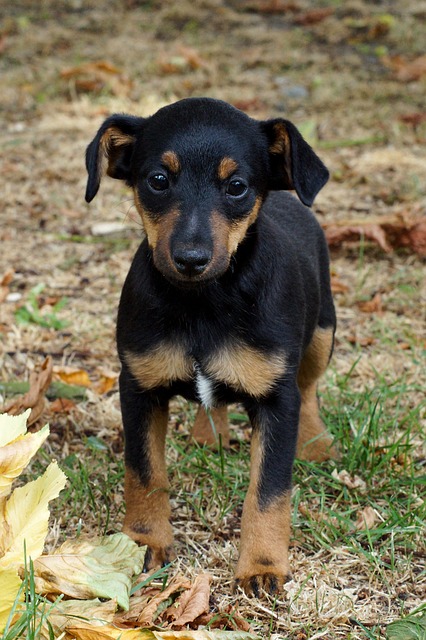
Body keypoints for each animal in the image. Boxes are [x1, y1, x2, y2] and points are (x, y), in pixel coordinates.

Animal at [84, 97, 336, 596]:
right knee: (213, 401)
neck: (204, 300)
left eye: (236, 187)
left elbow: (268, 491)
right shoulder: (137, 386)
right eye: (158, 180)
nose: (190, 259)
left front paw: (262, 567)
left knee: (311, 386)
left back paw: (316, 442)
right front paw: (143, 543)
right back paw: (210, 435)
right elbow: (144, 473)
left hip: (323, 332)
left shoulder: (278, 399)